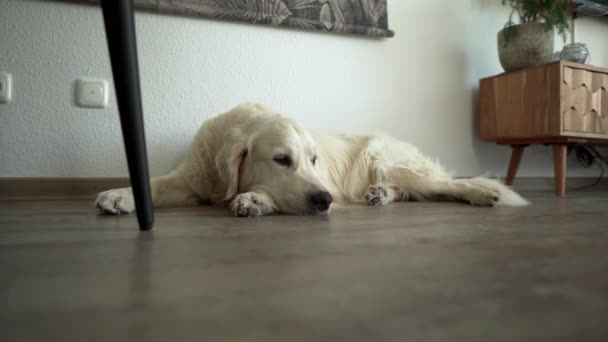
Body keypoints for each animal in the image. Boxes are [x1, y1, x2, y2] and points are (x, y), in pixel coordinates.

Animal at [95, 103, 528, 218]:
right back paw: (379, 195)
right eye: (281, 159)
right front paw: (118, 195)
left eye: (314, 160)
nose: (325, 201)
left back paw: (484, 194)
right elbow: (152, 184)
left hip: (389, 160)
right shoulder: (191, 179)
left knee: (447, 185)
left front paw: (255, 199)